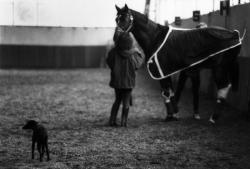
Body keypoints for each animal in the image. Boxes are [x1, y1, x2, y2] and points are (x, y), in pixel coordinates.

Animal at [114, 4, 242, 123]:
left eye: (125, 18)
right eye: (116, 19)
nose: (116, 37)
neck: (155, 38)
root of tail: (234, 34)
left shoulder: (162, 72)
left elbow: (166, 93)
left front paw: (171, 115)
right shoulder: (166, 72)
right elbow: (170, 92)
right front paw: (174, 114)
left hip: (220, 68)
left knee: (224, 87)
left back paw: (213, 118)